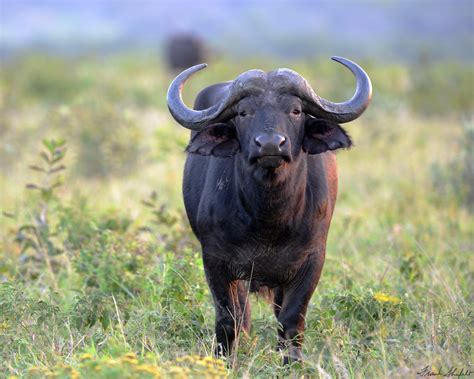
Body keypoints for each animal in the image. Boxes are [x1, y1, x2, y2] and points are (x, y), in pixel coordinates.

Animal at [168, 57, 374, 366]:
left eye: (296, 110)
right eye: (244, 112)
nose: (269, 144)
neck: (269, 219)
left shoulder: (312, 260)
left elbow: (291, 318)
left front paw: (291, 361)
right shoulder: (215, 260)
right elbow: (228, 318)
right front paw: (224, 360)